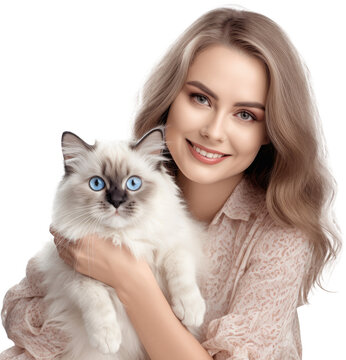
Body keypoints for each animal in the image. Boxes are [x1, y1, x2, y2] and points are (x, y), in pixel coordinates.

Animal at [36, 128, 207, 360]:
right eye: (97, 184)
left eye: (133, 183)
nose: (116, 202)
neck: (122, 238)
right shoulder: (72, 275)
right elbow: (97, 302)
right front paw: (107, 338)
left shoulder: (177, 245)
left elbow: (181, 274)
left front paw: (191, 311)